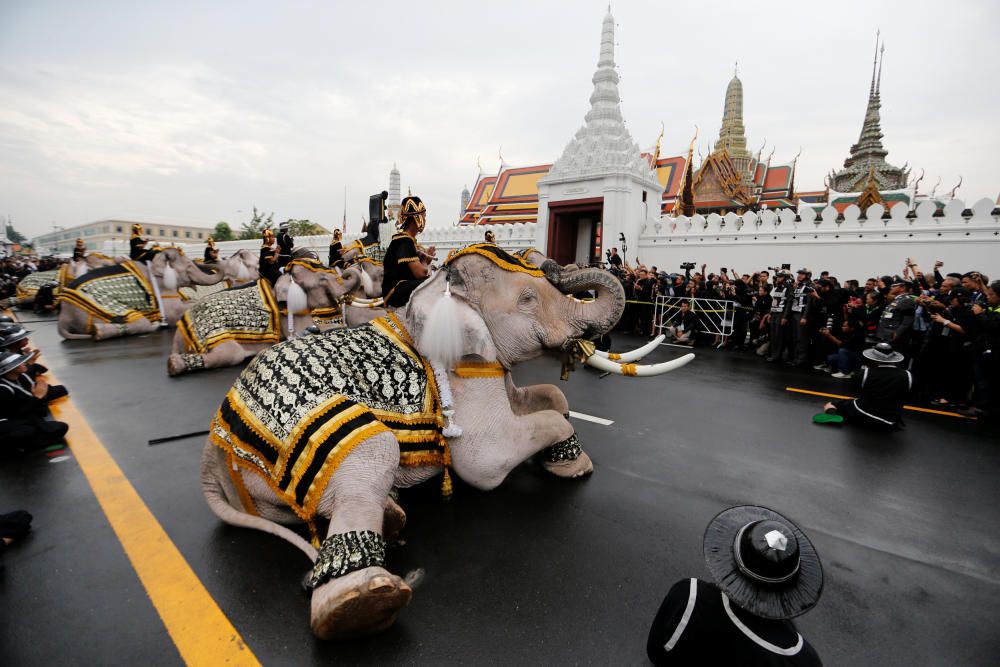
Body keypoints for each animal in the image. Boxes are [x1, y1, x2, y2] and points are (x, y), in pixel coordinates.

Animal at [199, 243, 692, 640]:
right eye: (528, 298)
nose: (555, 261)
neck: (437, 290)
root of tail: (211, 453)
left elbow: (549, 398)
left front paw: (559, 449)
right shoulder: (461, 372)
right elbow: (487, 460)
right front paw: (574, 466)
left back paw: (393, 514)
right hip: (304, 430)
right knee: (374, 450)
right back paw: (361, 602)